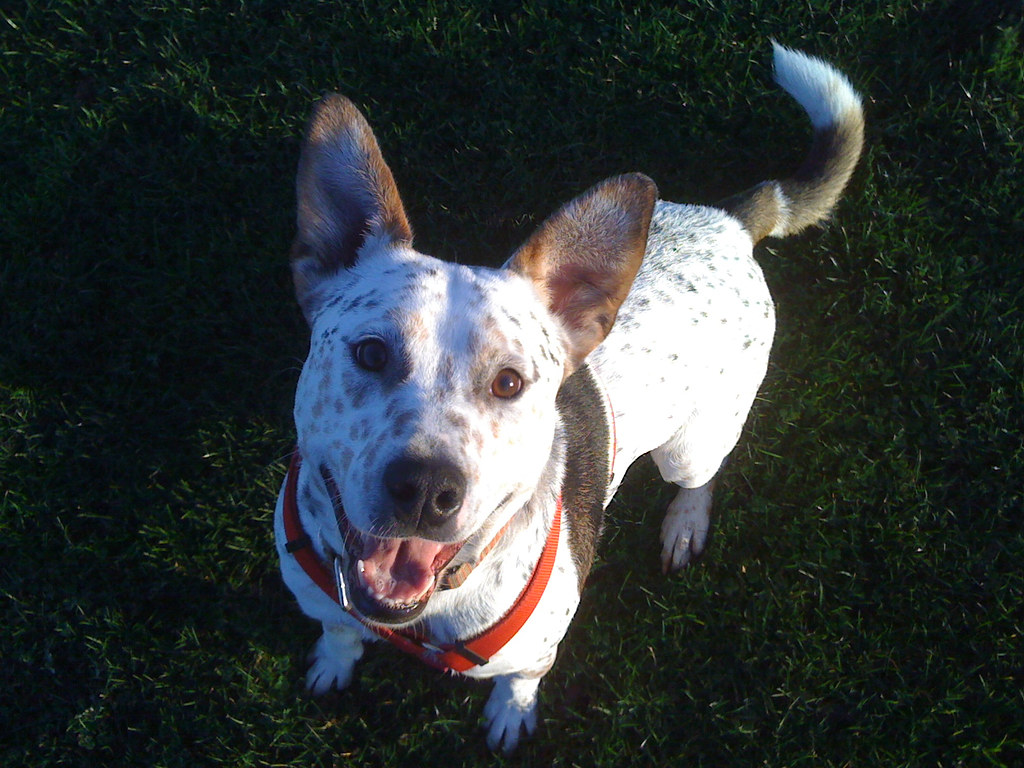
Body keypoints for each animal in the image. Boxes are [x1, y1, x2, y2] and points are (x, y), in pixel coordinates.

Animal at [274, 41, 864, 753]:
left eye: (509, 382)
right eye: (370, 353)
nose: (425, 489)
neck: (424, 610)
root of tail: (728, 220)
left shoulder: (535, 652)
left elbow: (520, 681)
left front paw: (510, 716)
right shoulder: (323, 600)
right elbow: (337, 631)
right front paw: (333, 663)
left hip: (695, 440)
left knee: (702, 475)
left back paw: (685, 523)